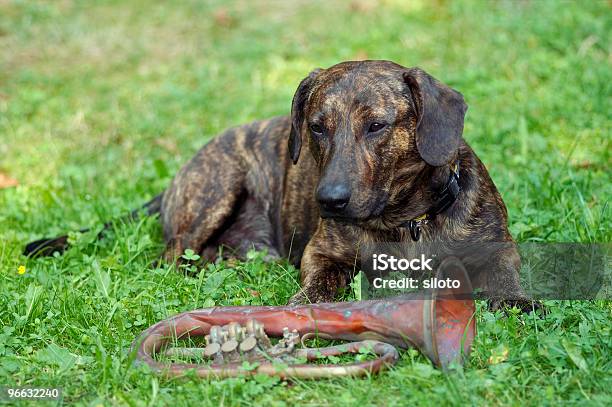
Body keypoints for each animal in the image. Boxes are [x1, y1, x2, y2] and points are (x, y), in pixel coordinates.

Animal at [26, 59, 528, 310]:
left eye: (377, 126)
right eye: (317, 127)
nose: (329, 200)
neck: (406, 222)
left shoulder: (499, 248)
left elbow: (505, 279)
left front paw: (518, 304)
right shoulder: (321, 253)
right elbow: (322, 282)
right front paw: (304, 304)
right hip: (216, 190)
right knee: (168, 259)